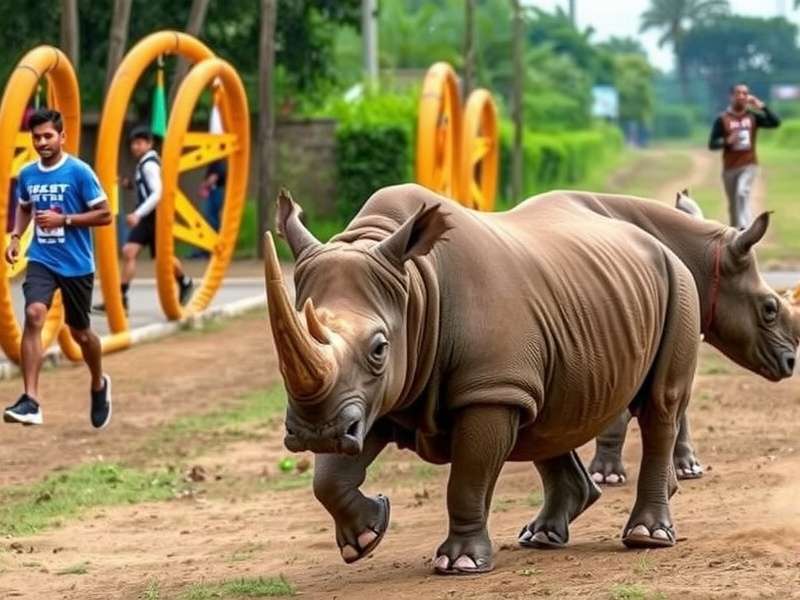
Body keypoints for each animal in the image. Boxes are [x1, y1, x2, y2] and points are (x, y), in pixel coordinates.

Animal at [516, 189, 799, 485]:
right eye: (769, 309)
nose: (791, 362)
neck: (705, 260)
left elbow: (677, 401)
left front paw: (688, 469)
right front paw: (607, 475)